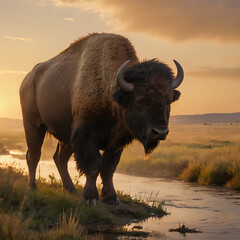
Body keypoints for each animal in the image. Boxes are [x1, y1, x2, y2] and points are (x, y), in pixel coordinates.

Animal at [19, 31, 184, 204]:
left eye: (169, 100)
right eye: (139, 100)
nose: (160, 132)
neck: (111, 91)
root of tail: (27, 80)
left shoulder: (116, 142)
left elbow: (108, 168)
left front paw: (111, 197)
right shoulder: (86, 136)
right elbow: (93, 166)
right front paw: (90, 198)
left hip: (66, 137)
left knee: (59, 159)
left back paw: (70, 189)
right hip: (33, 126)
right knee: (34, 155)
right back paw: (33, 187)